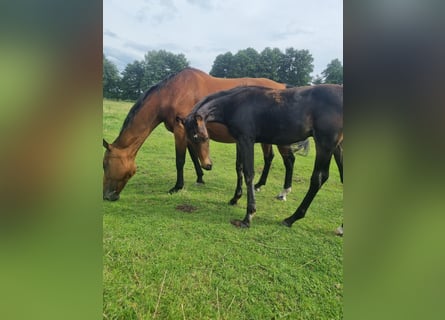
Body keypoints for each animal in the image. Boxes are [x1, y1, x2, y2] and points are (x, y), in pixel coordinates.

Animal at [102, 68, 306, 200]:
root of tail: (283, 86)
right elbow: (194, 156)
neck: (172, 93)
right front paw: (200, 178)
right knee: (270, 158)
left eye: (105, 165)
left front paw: (177, 187)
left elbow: (180, 160)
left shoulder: (180, 131)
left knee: (289, 160)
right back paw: (259, 185)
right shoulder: (190, 132)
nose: (107, 196)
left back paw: (283, 192)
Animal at [182, 84, 342, 229]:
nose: (207, 165)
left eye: (202, 137)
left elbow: (249, 173)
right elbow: (239, 167)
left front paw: (248, 216)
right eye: (190, 139)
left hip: (324, 144)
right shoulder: (239, 140)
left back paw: (291, 218)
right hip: (337, 146)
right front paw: (235, 198)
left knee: (318, 178)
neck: (236, 104)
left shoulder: (247, 140)